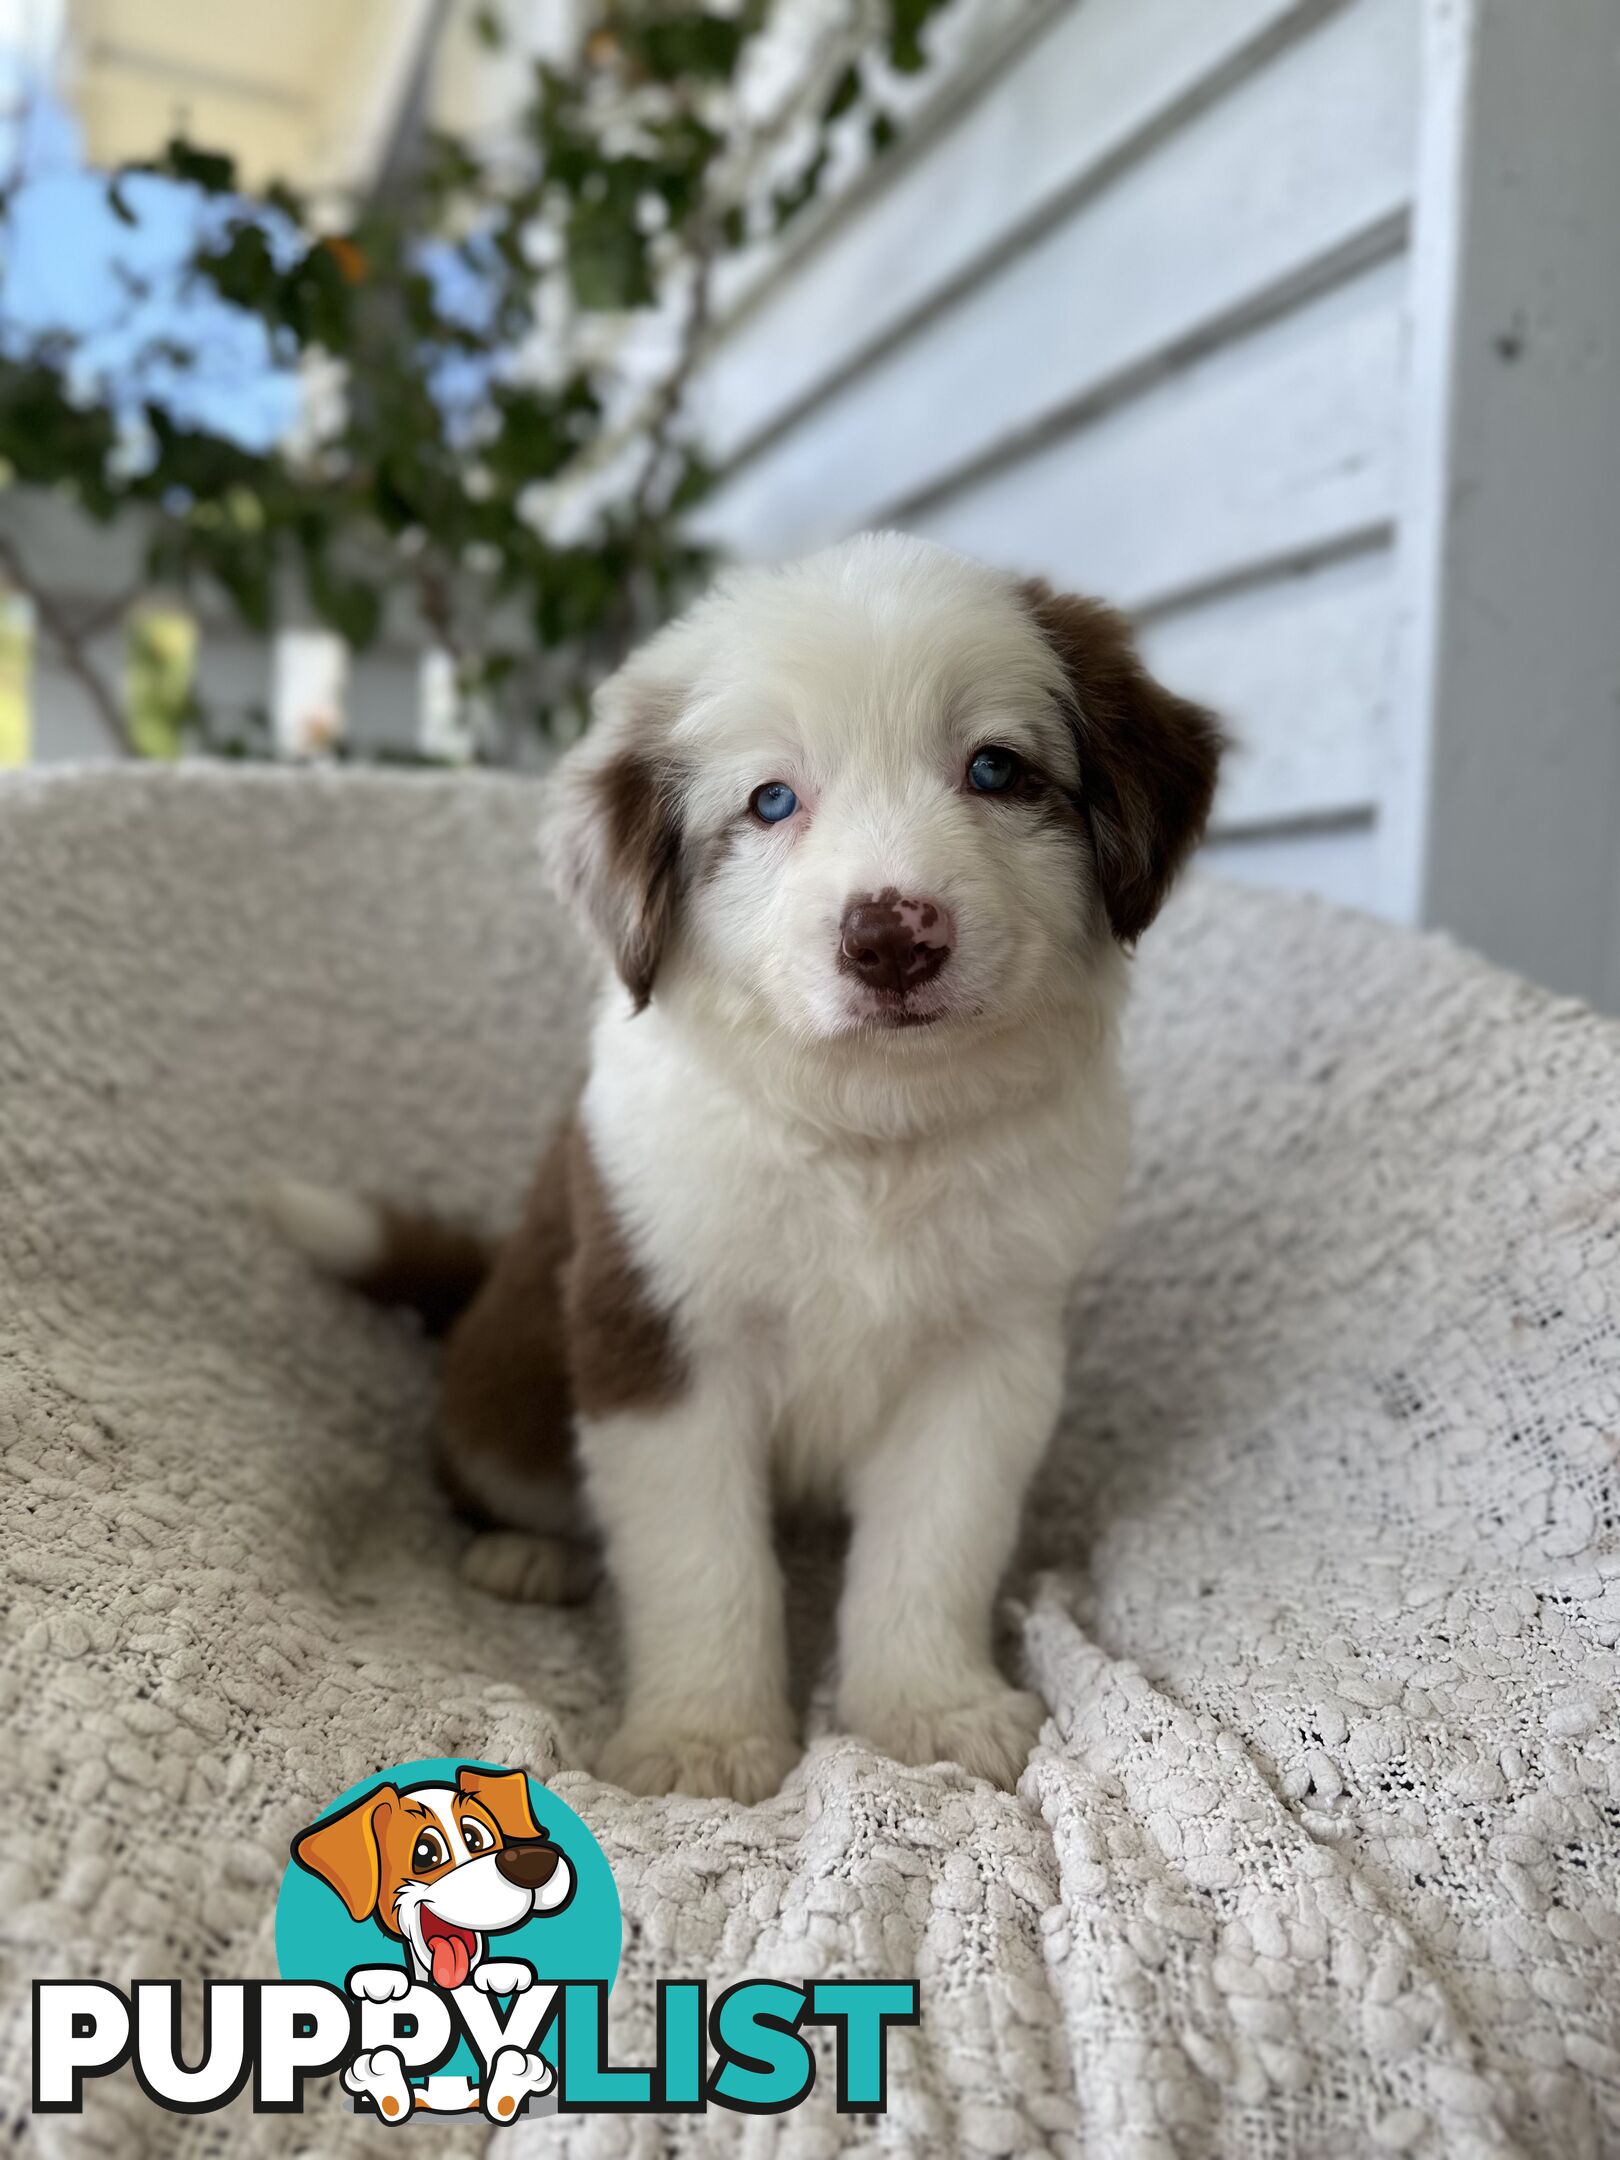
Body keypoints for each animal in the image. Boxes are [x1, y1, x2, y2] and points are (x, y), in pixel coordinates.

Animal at [273, 535, 1226, 1805]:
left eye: (995, 768)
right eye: (772, 800)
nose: (891, 936)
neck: (871, 1133)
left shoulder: (990, 1348)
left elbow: (936, 1540)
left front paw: (930, 1708)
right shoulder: (657, 1330)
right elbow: (700, 1558)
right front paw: (703, 1742)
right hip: (502, 1395)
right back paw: (527, 1555)